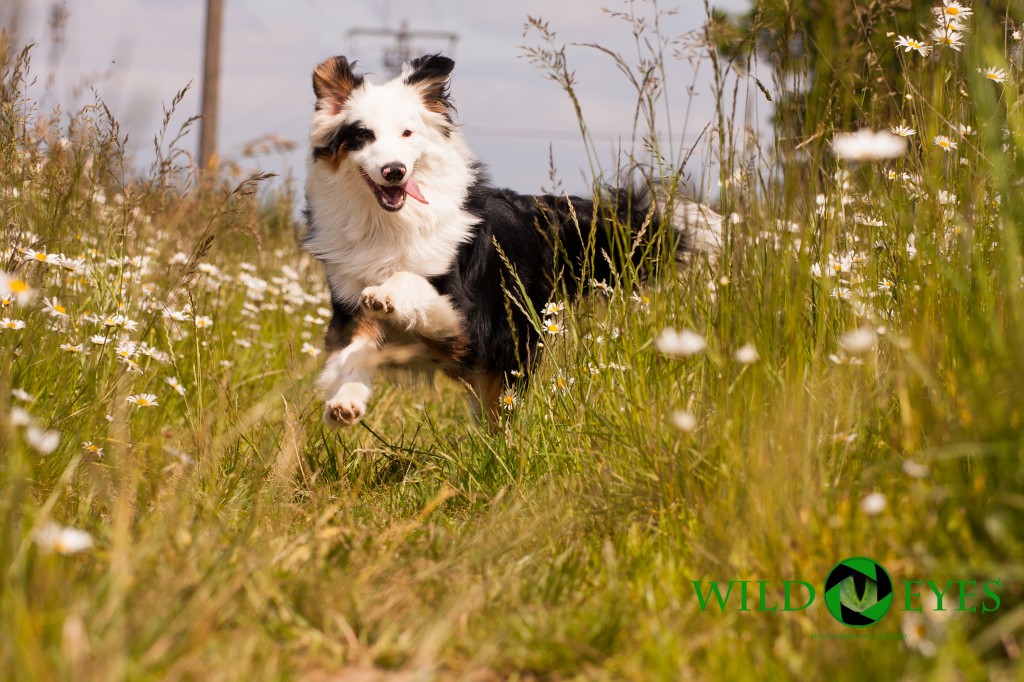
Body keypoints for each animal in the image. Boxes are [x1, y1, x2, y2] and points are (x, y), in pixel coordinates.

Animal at [303, 53, 720, 425]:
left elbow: (410, 282)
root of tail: (542, 211)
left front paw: (387, 294)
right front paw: (345, 401)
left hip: (510, 345)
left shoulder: (468, 323)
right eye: (363, 136)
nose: (394, 171)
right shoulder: (350, 307)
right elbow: (356, 348)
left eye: (408, 133)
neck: (389, 224)